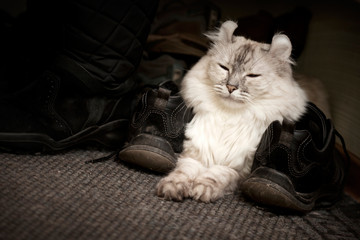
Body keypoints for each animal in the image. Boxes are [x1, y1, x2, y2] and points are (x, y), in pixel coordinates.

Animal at [157, 20, 306, 202]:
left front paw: (201, 190)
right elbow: (183, 172)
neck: (228, 118)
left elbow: (216, 175)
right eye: (224, 68)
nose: (231, 87)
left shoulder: (239, 170)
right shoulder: (193, 155)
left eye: (252, 76)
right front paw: (173, 187)